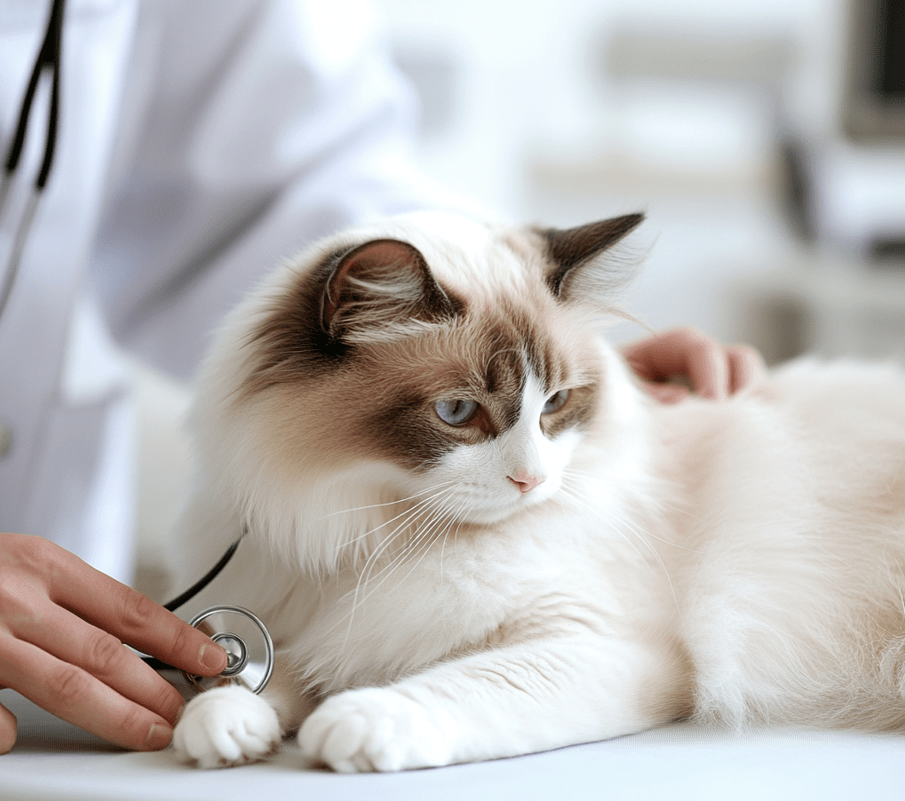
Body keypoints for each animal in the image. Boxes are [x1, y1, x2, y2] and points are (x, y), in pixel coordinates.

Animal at [168, 209, 904, 772]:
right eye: (458, 412)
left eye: (554, 403)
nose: (533, 480)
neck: (373, 530)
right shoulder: (319, 623)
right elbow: (254, 677)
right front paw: (223, 722)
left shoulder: (604, 646)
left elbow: (459, 684)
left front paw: (355, 720)